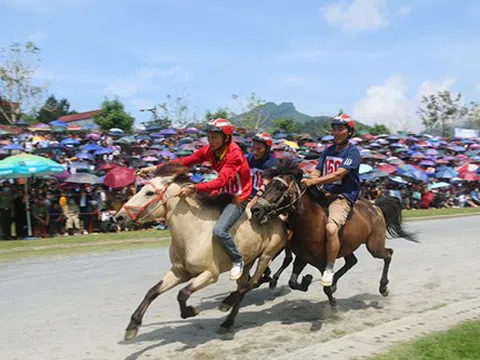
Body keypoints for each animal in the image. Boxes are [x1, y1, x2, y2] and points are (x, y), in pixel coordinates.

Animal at [249, 160, 418, 304]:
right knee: (352, 261)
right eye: (268, 185)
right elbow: (292, 282)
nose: (255, 209)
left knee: (388, 254)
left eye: (281, 188)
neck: (310, 222)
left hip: (374, 245)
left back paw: (383, 287)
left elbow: (323, 285)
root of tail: (375, 205)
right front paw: (307, 280)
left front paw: (330, 298)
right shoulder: (303, 257)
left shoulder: (322, 261)